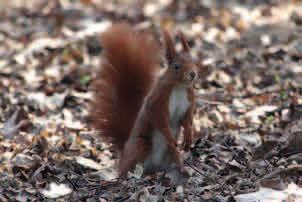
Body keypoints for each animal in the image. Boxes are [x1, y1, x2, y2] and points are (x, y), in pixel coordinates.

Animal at [91, 23, 198, 178]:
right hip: (140, 146)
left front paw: (189, 136)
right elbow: (159, 119)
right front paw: (170, 136)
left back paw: (182, 170)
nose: (193, 74)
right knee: (127, 167)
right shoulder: (158, 100)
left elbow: (187, 119)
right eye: (176, 66)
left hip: (170, 154)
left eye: (194, 62)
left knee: (173, 156)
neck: (179, 87)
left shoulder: (189, 101)